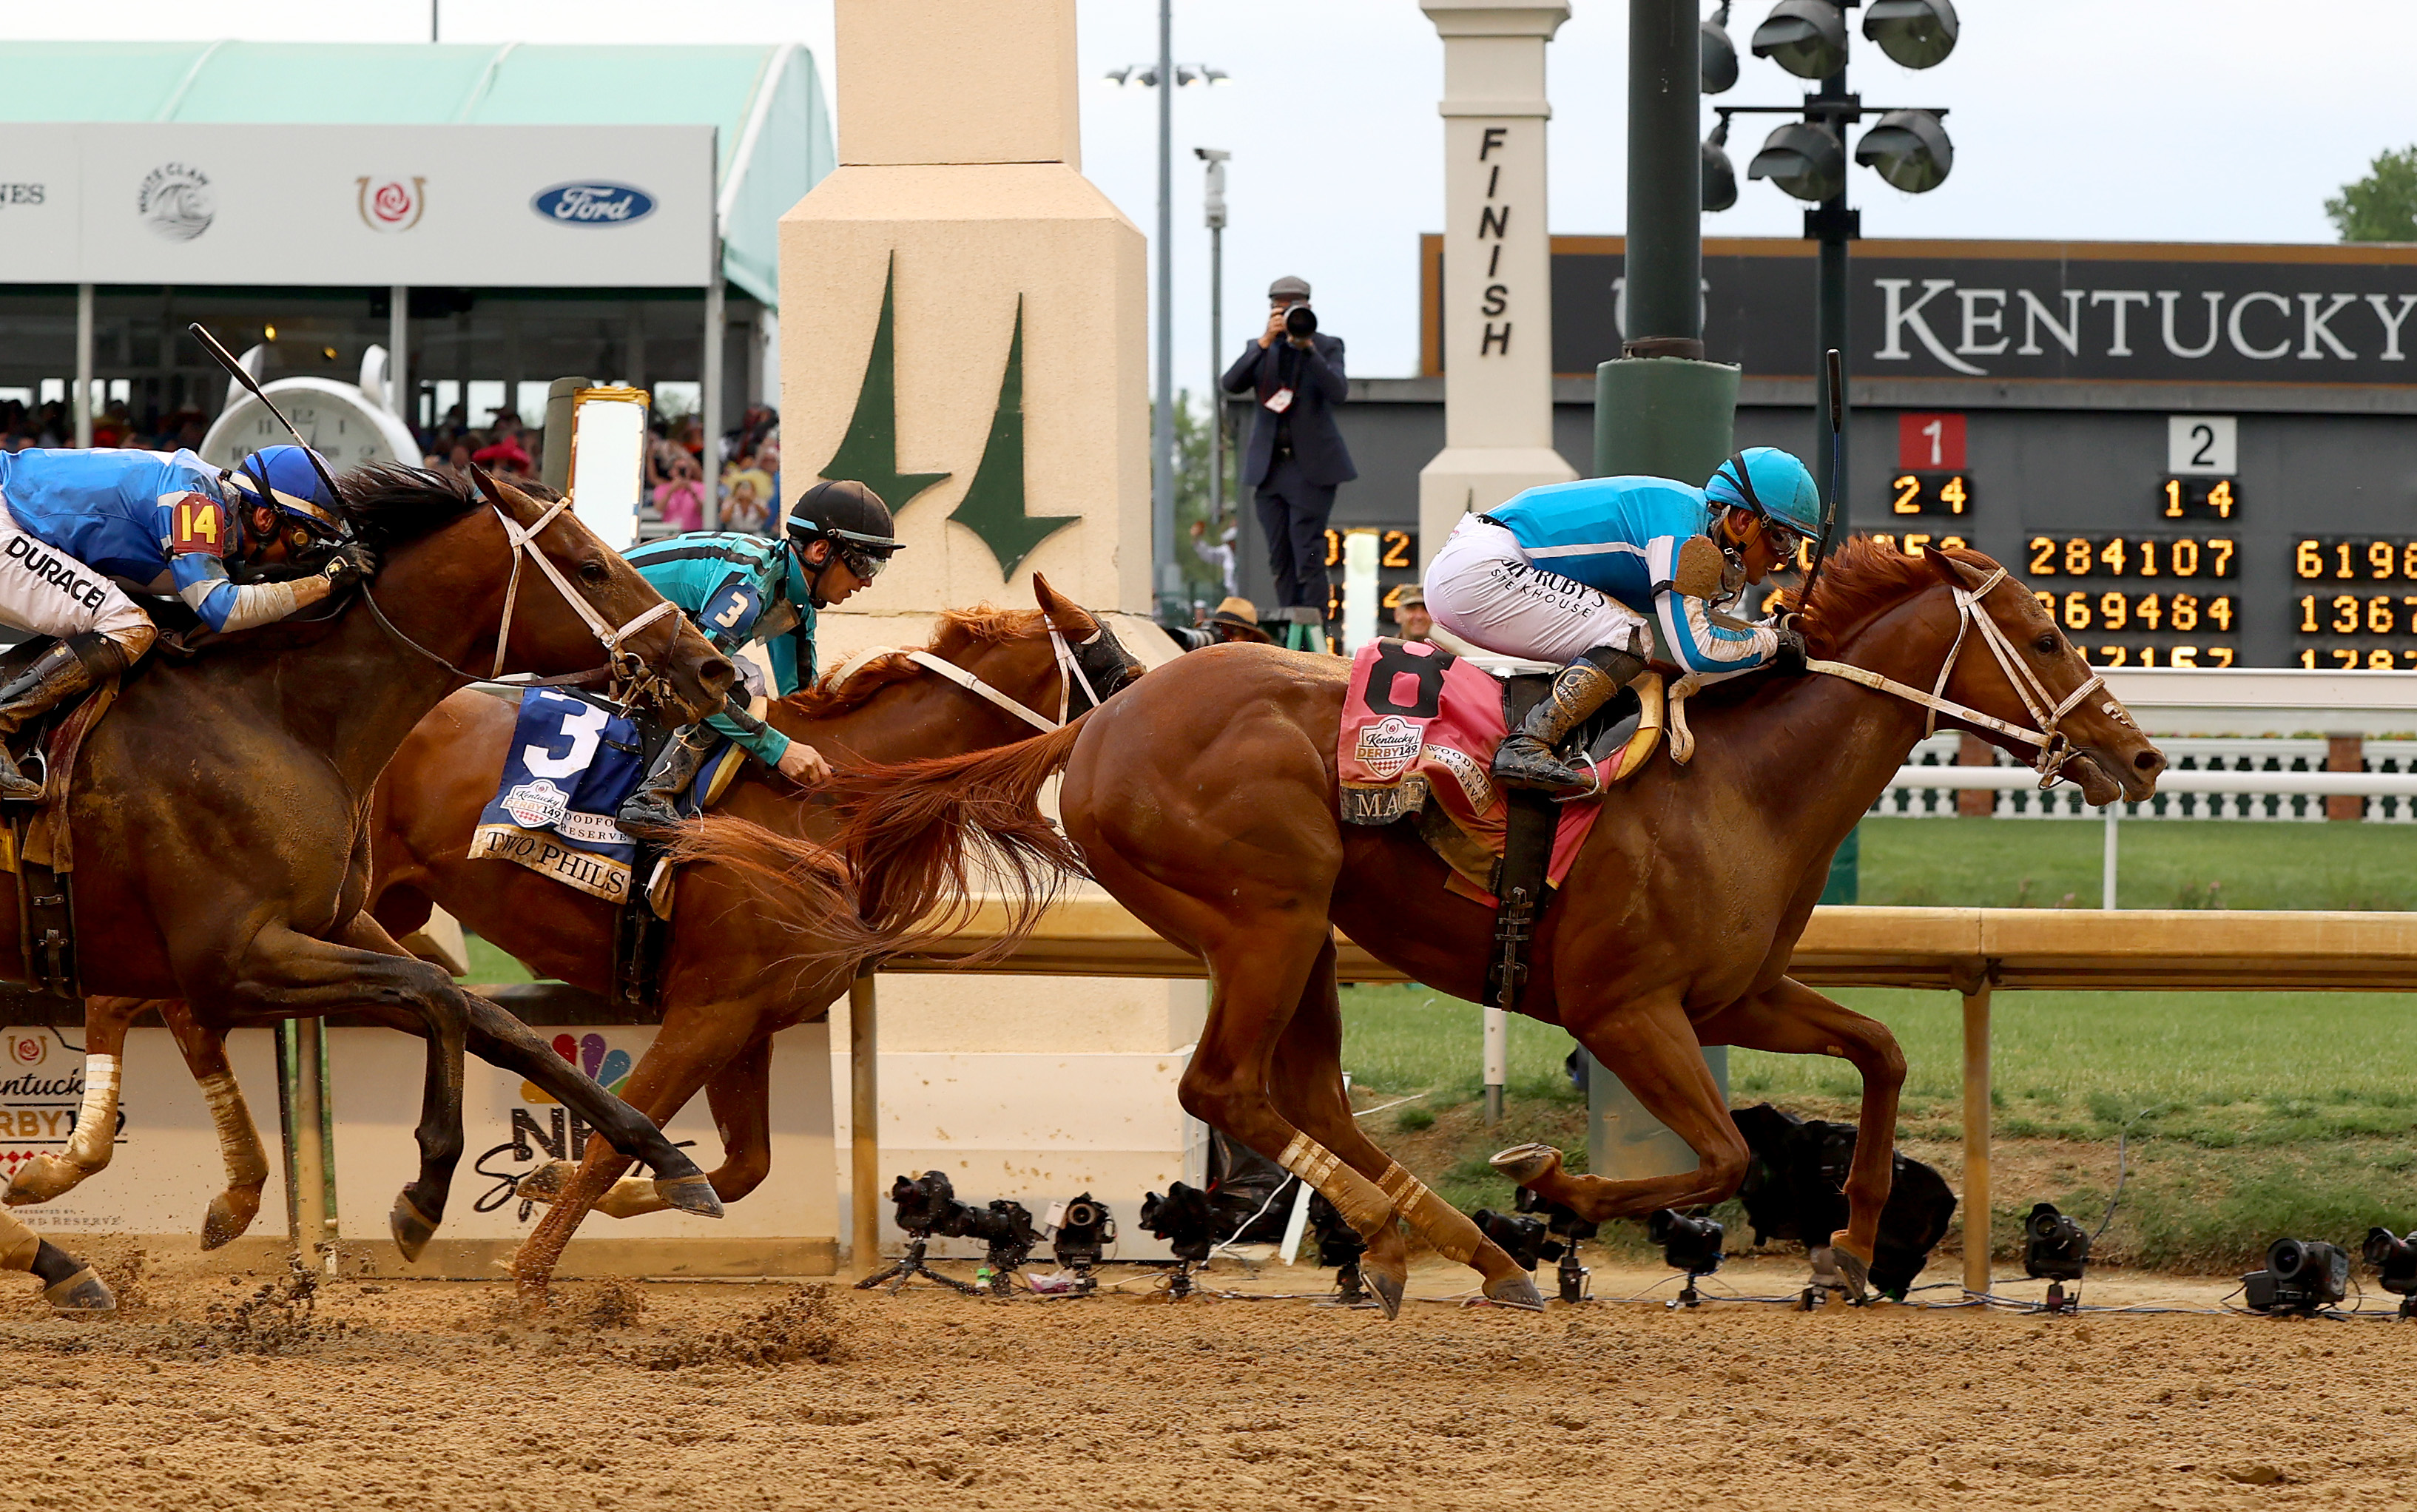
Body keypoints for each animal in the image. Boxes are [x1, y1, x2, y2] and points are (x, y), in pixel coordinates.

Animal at [4, 466, 729, 1255]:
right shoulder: (230, 961)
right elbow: (438, 993)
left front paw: (666, 1157)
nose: (714, 668)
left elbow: (495, 1022)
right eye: (593, 567)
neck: (279, 717)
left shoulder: (335, 924)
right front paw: (425, 1191)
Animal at [33, 577, 1136, 1295]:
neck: (825, 808)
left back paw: (188, 1190)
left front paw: (558, 1181)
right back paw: (79, 1169)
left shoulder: (749, 1021)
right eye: (1117, 665)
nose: (1149, 732)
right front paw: (529, 1265)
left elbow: (738, 1168)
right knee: (149, 1000)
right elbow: (625, 1135)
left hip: (343, 914)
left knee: (182, 1009)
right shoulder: (709, 1010)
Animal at [686, 539, 2175, 1304]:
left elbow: (1879, 1051)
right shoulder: (1625, 1009)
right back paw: (1449, 1239)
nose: (2143, 756)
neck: (1735, 785)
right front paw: (1552, 1185)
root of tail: (1103, 718)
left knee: (1300, 1095)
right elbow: (1709, 1159)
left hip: (1299, 936)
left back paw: (1442, 1244)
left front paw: (1854, 1243)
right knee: (1224, 1083)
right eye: (2049, 637)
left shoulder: (1734, 994)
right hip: (1265, 915)